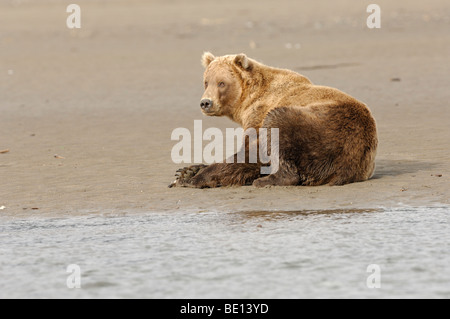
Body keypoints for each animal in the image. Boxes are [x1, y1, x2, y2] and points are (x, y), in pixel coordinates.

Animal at [171, 52, 378, 188]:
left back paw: (267, 180)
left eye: (221, 83)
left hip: (325, 126)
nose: (205, 102)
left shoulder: (259, 115)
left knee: (279, 125)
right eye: (206, 82)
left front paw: (190, 179)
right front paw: (187, 170)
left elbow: (252, 152)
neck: (246, 102)